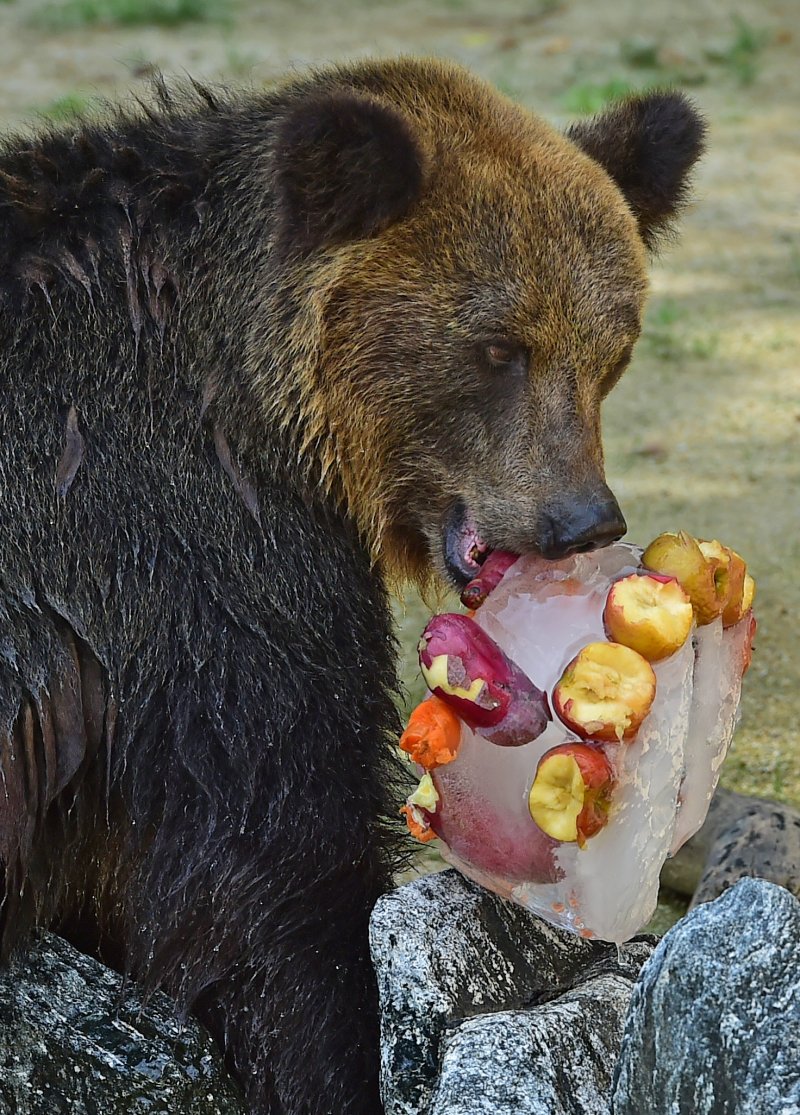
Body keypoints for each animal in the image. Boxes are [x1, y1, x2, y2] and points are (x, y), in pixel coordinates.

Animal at [0, 61, 700, 1115]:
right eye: (499, 347)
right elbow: (271, 841)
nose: (582, 518)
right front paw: (337, 1048)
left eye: (611, 346)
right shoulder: (188, 549)